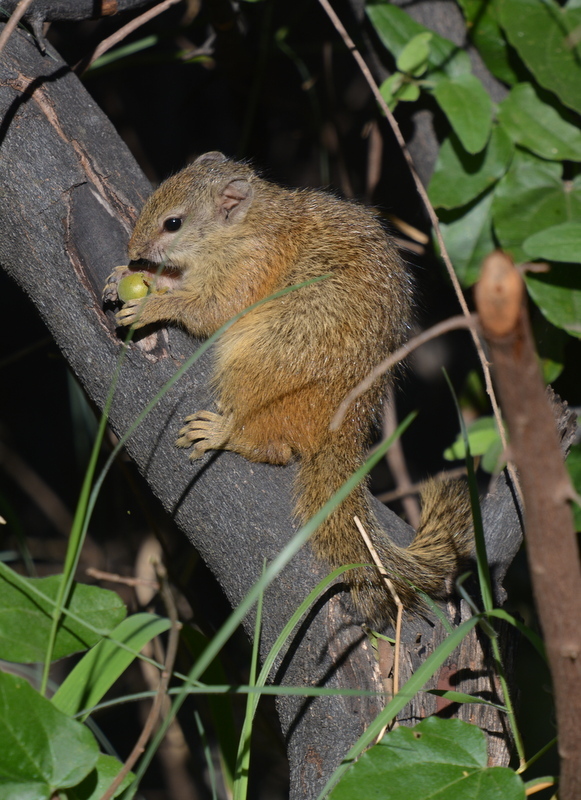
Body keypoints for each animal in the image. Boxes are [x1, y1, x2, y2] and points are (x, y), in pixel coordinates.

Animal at [103, 150, 472, 624]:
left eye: (173, 223)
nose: (134, 253)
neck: (247, 226)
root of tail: (346, 425)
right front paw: (132, 276)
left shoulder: (250, 267)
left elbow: (211, 310)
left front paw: (155, 302)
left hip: (263, 357)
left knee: (275, 448)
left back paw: (223, 433)